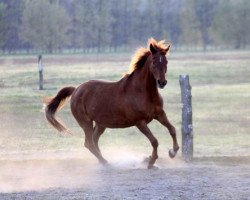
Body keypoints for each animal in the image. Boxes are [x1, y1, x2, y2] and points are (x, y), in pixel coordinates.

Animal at [44, 38, 179, 169]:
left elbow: (172, 129)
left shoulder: (160, 114)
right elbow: (154, 141)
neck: (142, 92)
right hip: (86, 122)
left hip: (100, 124)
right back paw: (105, 162)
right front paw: (151, 162)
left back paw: (102, 161)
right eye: (154, 62)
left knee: (94, 140)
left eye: (166, 62)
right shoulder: (140, 122)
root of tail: (76, 89)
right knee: (89, 143)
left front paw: (172, 152)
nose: (162, 82)